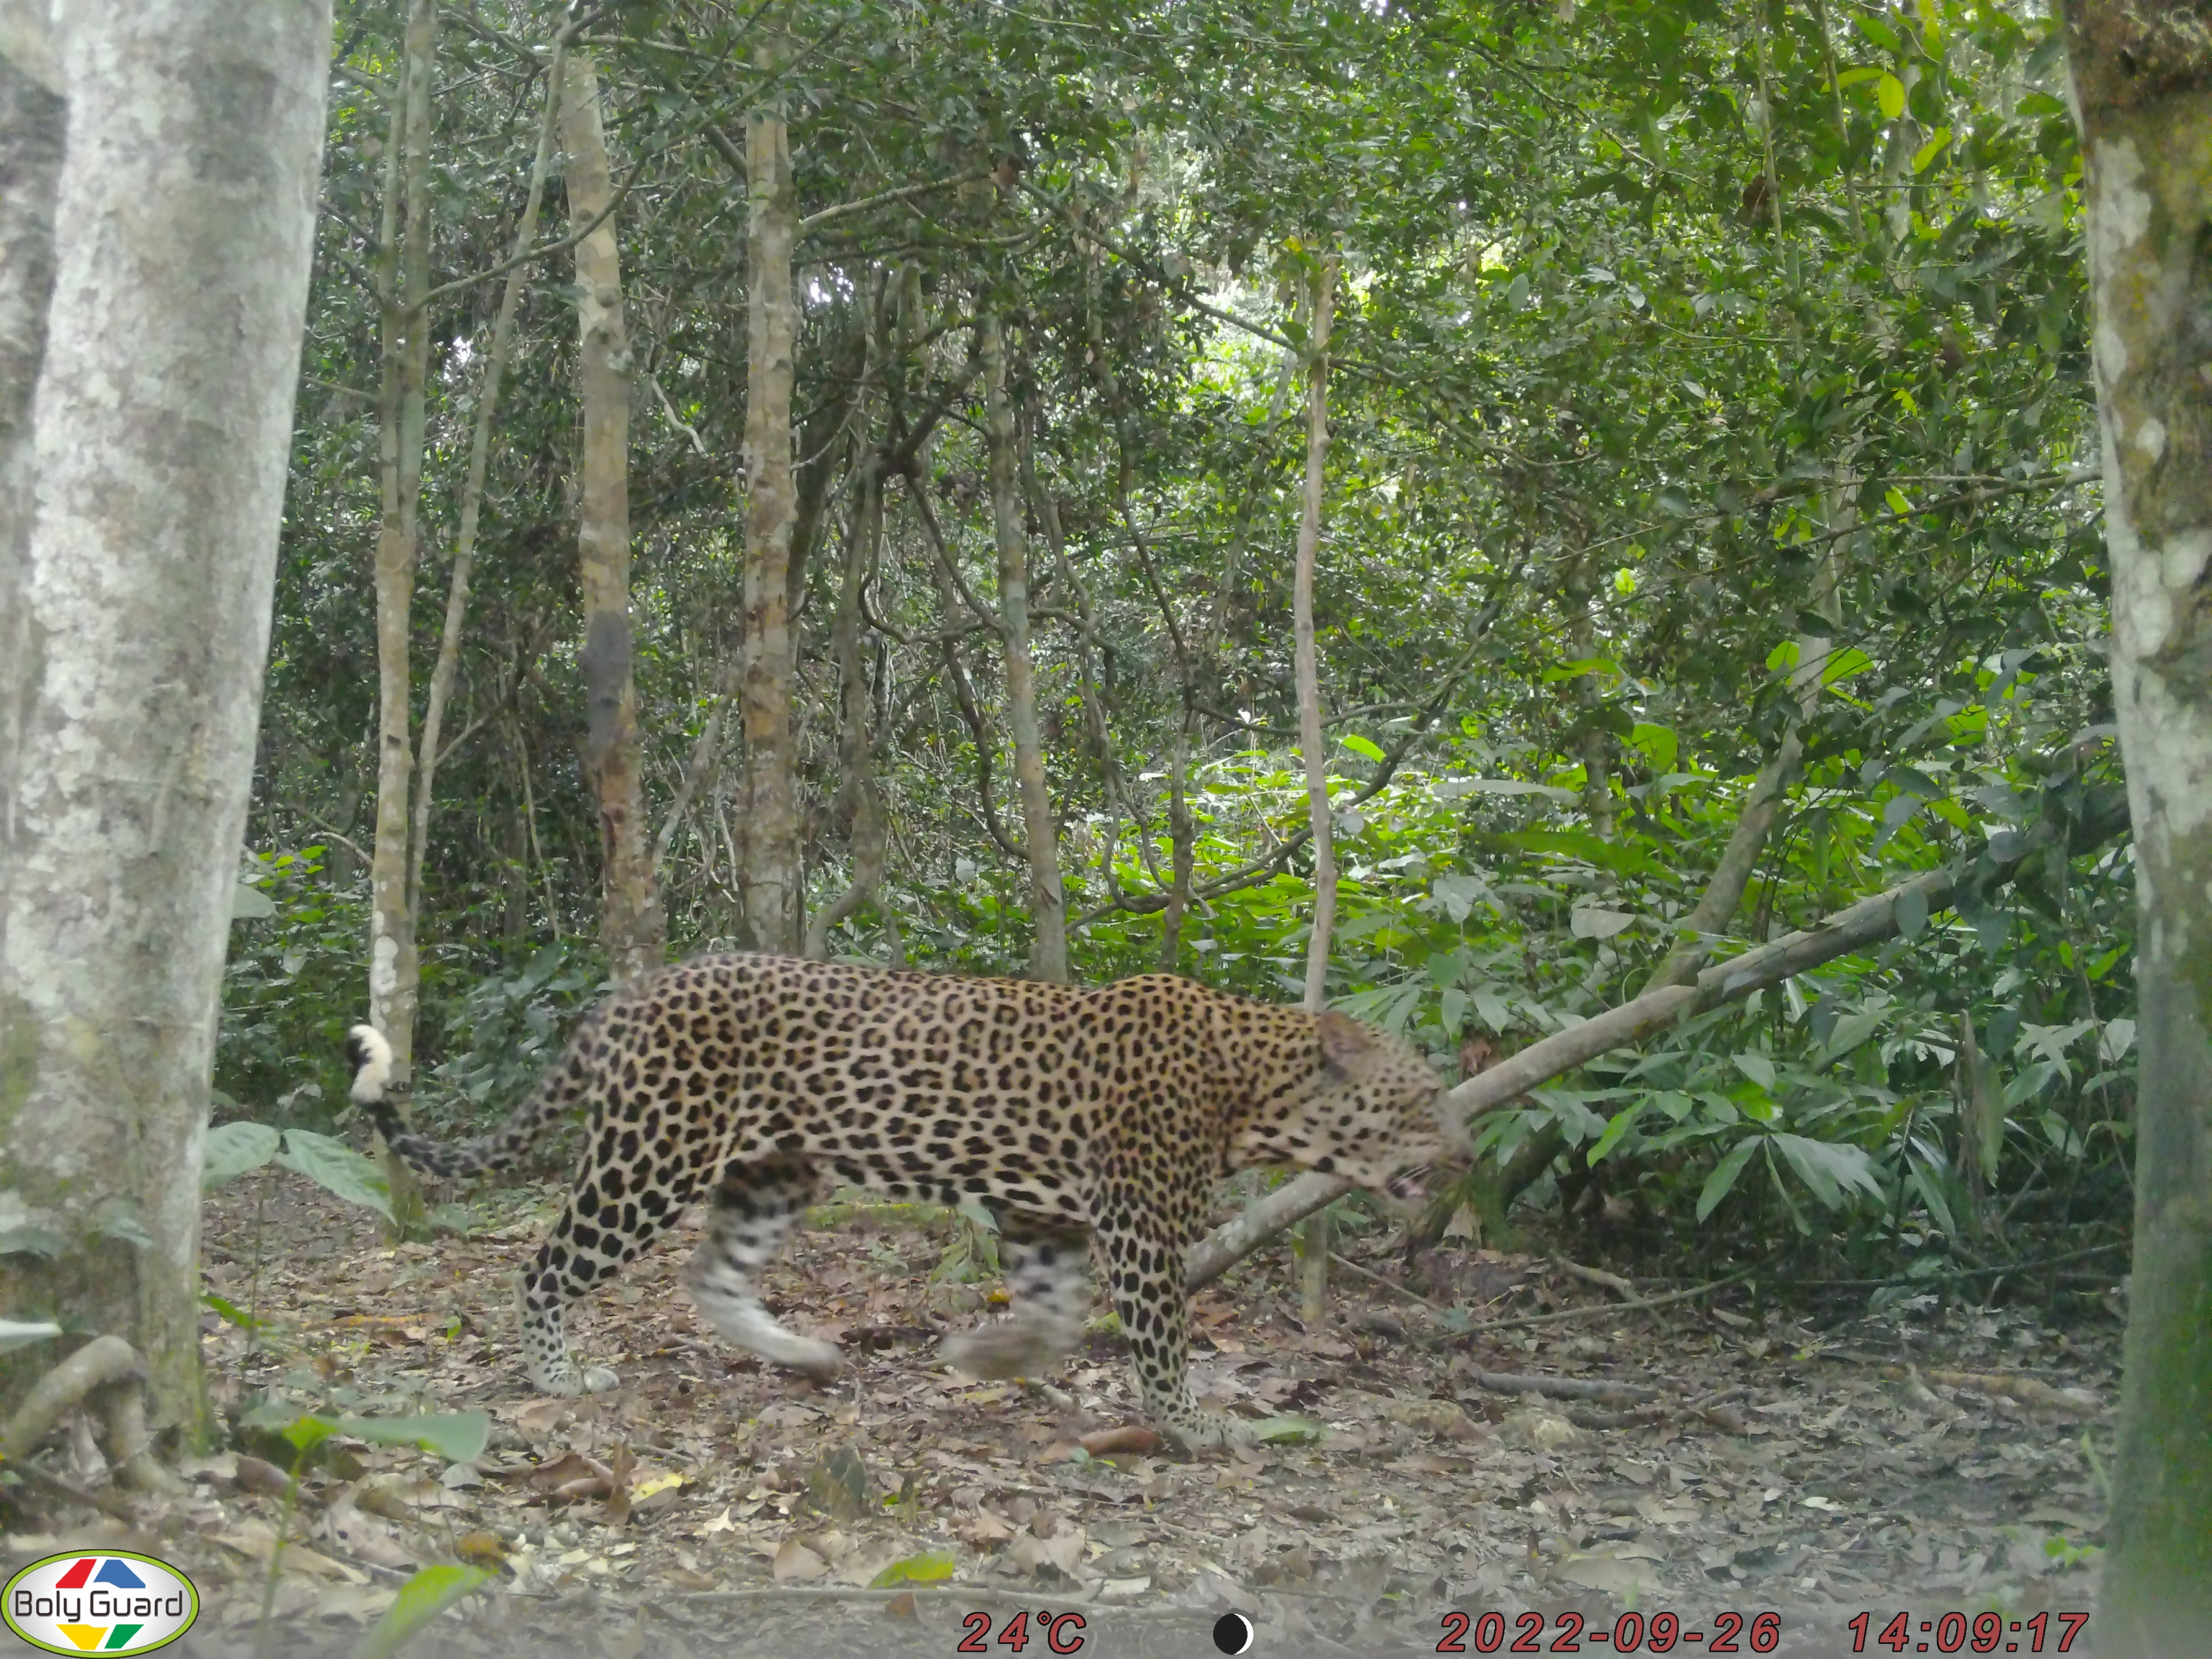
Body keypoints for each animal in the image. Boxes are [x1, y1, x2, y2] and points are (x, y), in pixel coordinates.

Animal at [344, 952, 1459, 1452]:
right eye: (1422, 1100)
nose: (1462, 1154)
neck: (1252, 1089)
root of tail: (634, 993)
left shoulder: (1047, 1218)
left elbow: (1057, 1317)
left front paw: (984, 1359)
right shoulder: (1139, 1224)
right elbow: (1161, 1341)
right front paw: (1194, 1426)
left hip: (775, 1170)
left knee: (712, 1276)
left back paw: (803, 1354)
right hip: (653, 1155)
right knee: (543, 1266)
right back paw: (558, 1376)